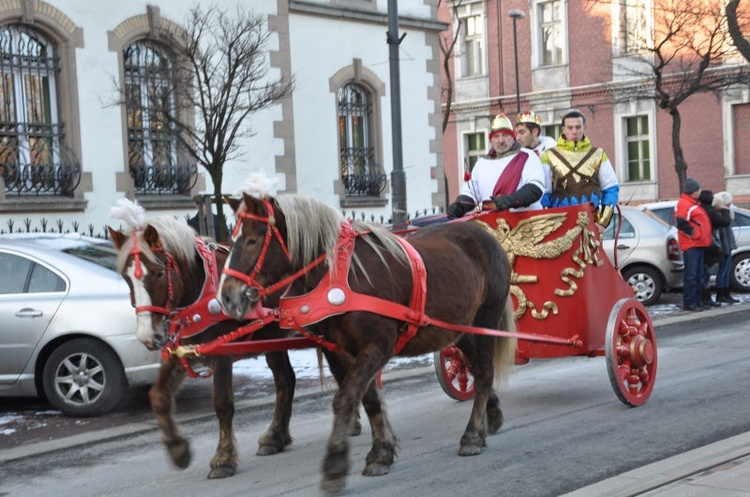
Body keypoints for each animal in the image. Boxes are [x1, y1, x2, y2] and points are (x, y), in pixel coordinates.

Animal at [108, 200, 300, 478]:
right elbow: (158, 396)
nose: (148, 336)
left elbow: (223, 403)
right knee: (285, 380)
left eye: (158, 273)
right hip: (272, 338)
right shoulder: (181, 350)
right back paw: (274, 437)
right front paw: (178, 449)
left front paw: (223, 459)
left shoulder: (221, 353)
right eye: (126, 277)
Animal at [217, 192, 516, 490]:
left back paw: (473, 434)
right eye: (231, 241)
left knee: (484, 372)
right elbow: (369, 399)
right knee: (476, 366)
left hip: (486, 318)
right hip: (457, 328)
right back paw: (492, 415)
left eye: (252, 240)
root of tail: (485, 235)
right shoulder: (346, 351)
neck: (341, 276)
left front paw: (335, 465)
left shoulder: (377, 348)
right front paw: (382, 452)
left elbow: (344, 398)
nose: (227, 296)